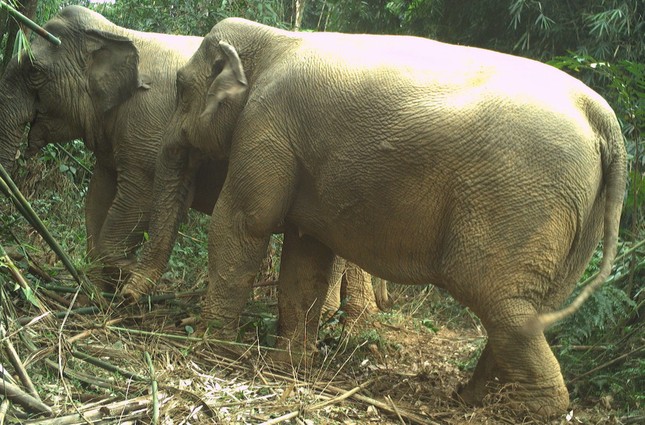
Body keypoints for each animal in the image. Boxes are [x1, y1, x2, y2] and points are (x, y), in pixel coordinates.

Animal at [122, 16, 624, 414]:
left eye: (181, 89)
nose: (124, 300)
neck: (276, 39)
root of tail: (605, 120)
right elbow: (306, 254)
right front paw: (289, 365)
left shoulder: (266, 126)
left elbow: (245, 221)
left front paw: (211, 350)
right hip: (577, 215)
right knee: (531, 309)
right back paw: (473, 398)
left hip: (520, 202)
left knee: (500, 301)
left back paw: (522, 410)